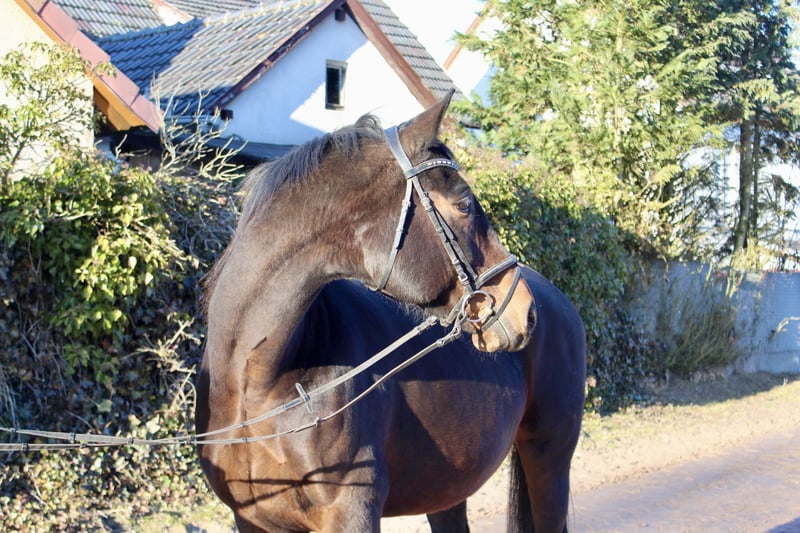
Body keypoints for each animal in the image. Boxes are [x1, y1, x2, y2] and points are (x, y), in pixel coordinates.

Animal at [196, 92, 586, 533]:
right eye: (464, 204)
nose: (524, 310)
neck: (262, 384)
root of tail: (560, 303)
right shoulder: (252, 520)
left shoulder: (352, 514)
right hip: (448, 486)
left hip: (548, 460)